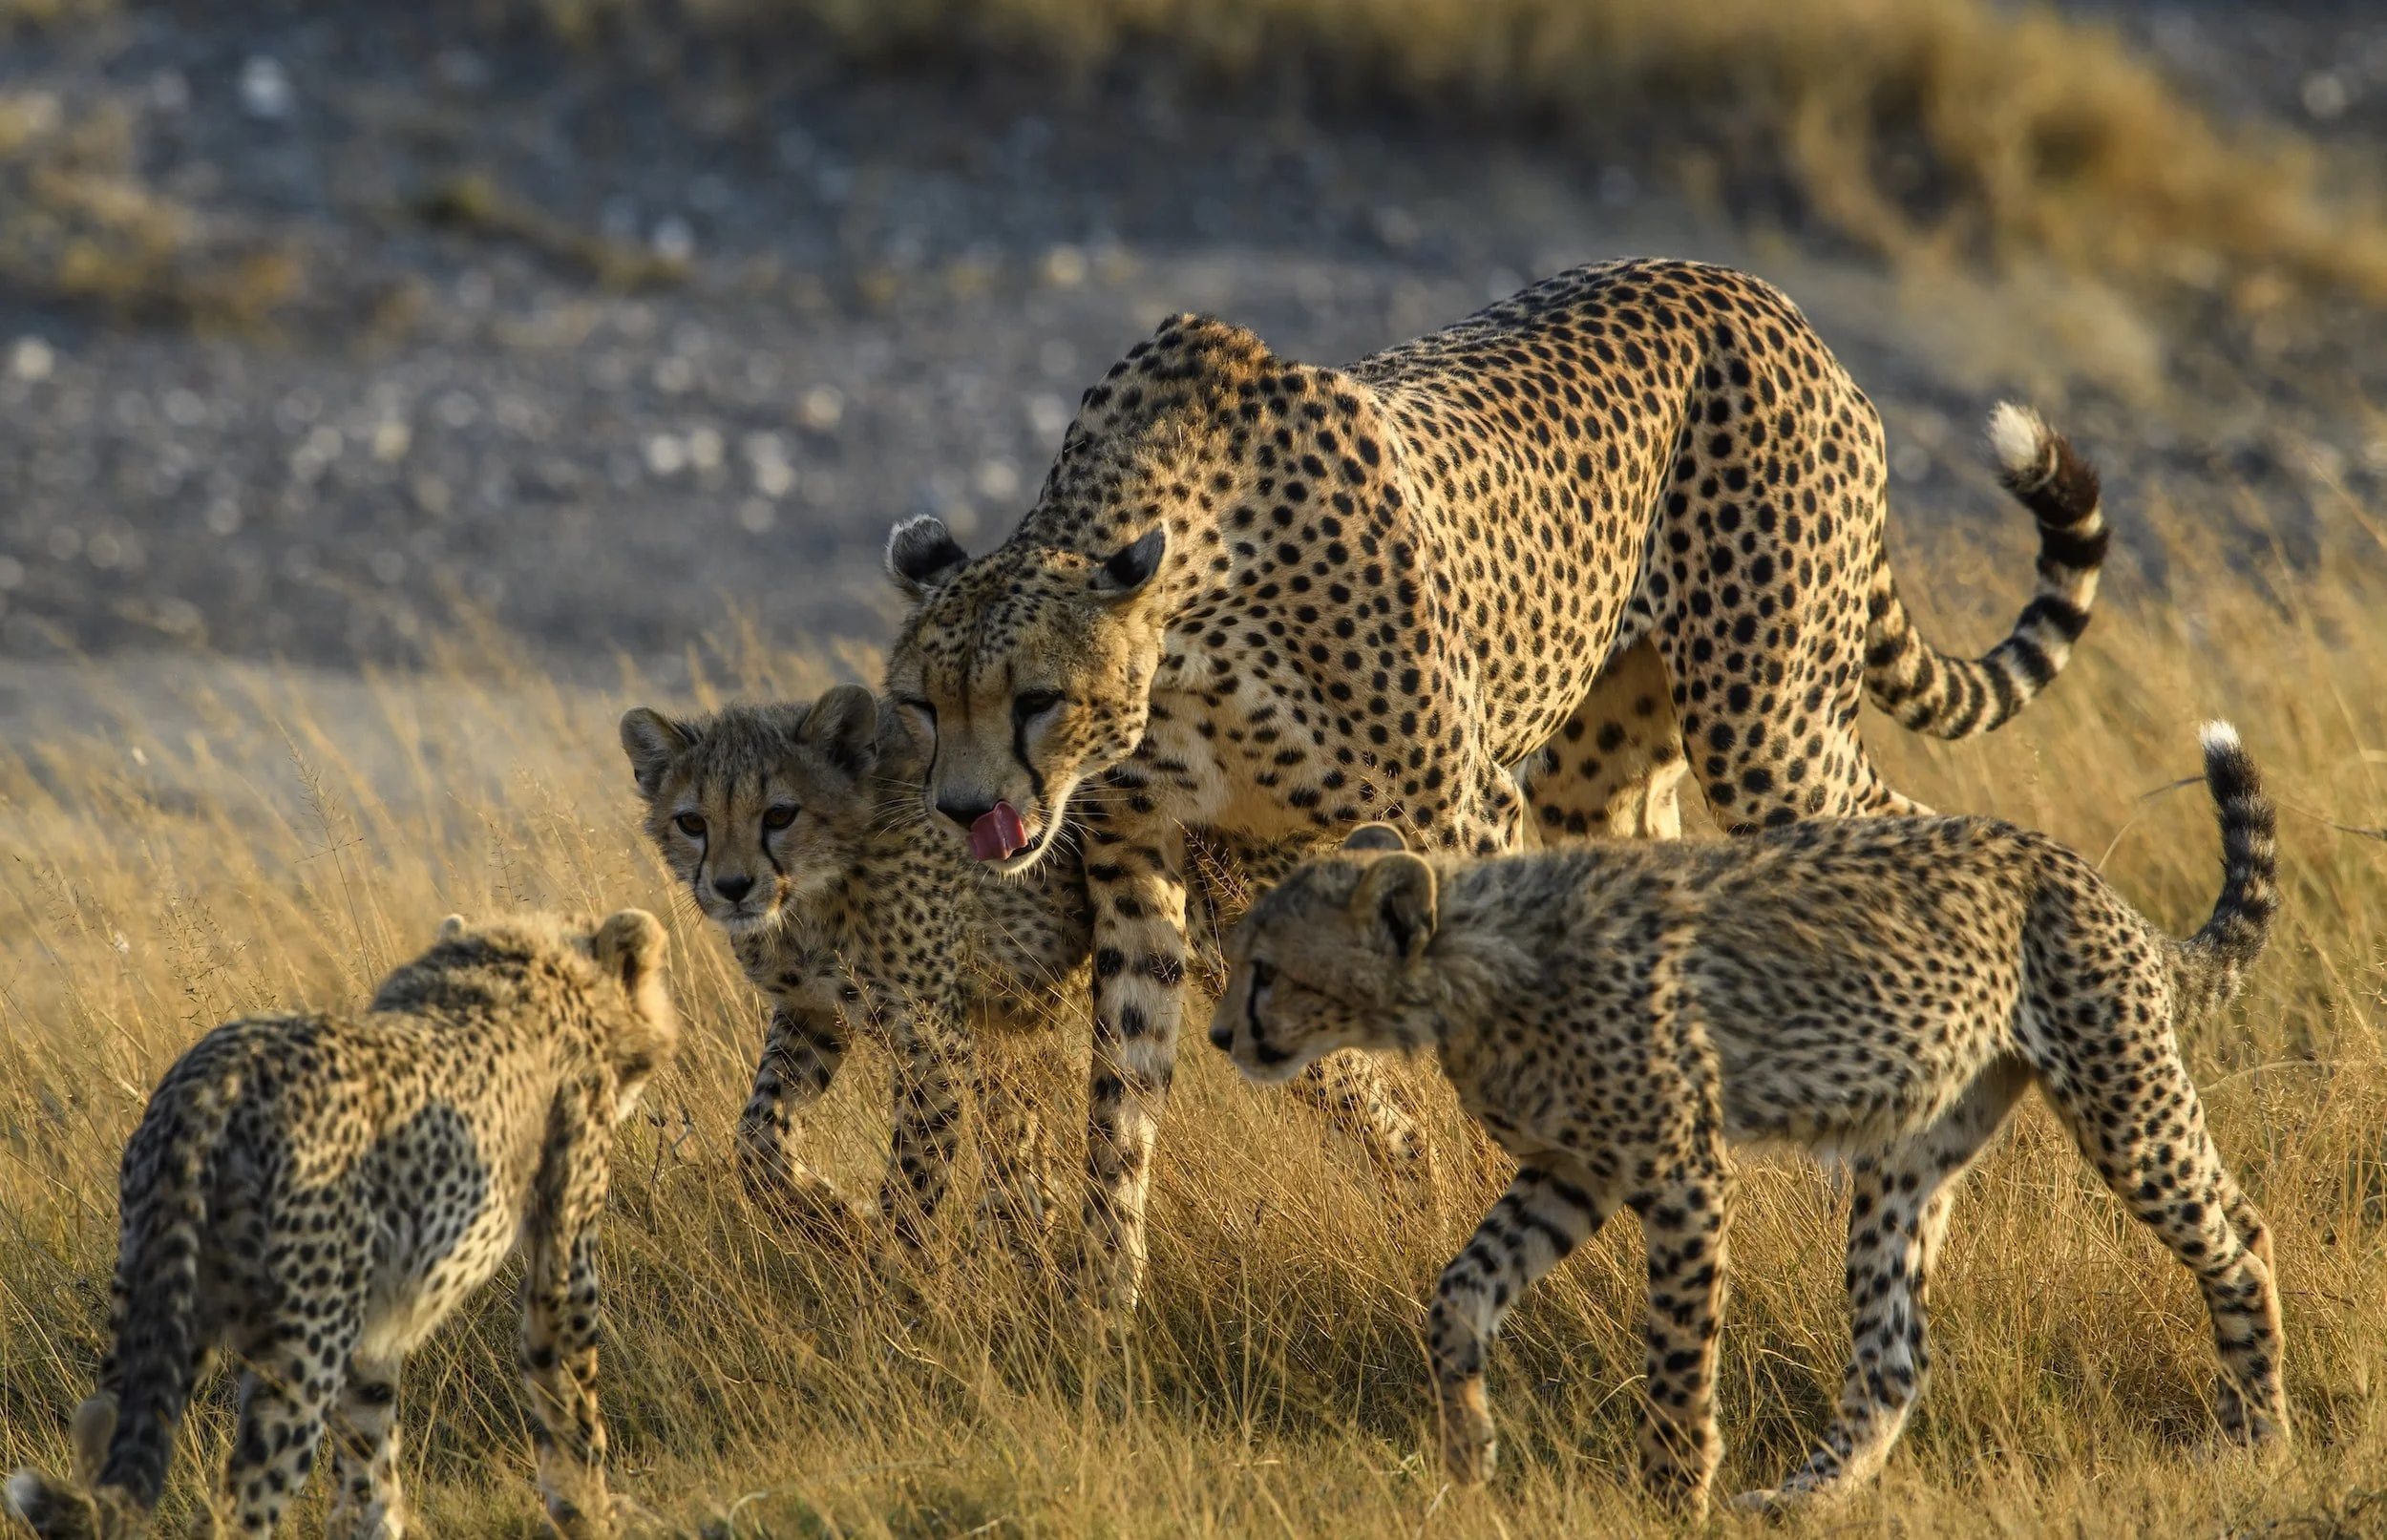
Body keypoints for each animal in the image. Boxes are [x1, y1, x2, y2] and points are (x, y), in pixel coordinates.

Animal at [4, 909, 679, 1540]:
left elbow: (367, 1460)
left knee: (102, 1426)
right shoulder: (563, 1260)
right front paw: (591, 1514)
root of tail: (214, 1077)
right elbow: (569, 1400)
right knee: (236, 1505)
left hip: (161, 1302)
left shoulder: (374, 1324)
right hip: (303, 1346)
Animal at [617, 687, 1425, 1262]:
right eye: (692, 821)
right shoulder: (816, 1015)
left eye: (780, 814)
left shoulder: (931, 1043)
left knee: (1393, 1113)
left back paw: (1421, 1218)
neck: (814, 892)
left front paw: (891, 1293)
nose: (731, 887)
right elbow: (756, 1141)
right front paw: (832, 1216)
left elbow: (912, 1187)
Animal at [879, 255, 2109, 1306]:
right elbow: (1122, 1091)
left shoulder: (1463, 812)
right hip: (1606, 770)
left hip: (1769, 728)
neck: (1189, 624)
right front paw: (1101, 1305)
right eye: (920, 703)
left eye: (1035, 697)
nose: (962, 810)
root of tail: (1749, 288)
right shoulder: (1154, 861)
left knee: (1908, 840)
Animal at [1207, 723, 2286, 1518]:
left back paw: (2257, 1434)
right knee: (1892, 1352)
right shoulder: (1571, 1172)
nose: (1218, 1033)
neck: (1473, 964)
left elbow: (1678, 1356)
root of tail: (2078, 872)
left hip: (2121, 1097)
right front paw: (1469, 1450)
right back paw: (1804, 1498)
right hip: (1910, 1152)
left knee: (2238, 1236)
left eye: (1266, 968)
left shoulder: (1681, 1170)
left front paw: (1669, 1495)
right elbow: (1458, 1288)